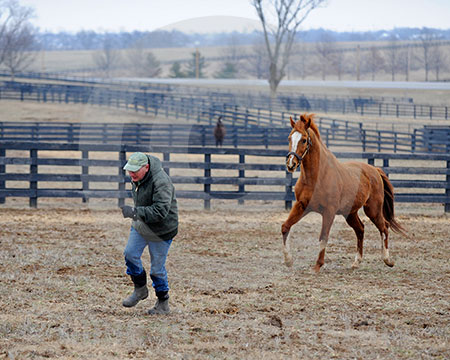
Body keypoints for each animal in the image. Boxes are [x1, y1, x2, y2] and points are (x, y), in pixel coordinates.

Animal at [284, 114, 406, 272]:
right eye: (289, 138)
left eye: (304, 139)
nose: (290, 164)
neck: (316, 177)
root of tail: (374, 170)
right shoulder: (301, 206)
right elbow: (285, 227)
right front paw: (288, 260)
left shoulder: (328, 212)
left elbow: (323, 236)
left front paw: (317, 266)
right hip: (350, 213)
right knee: (360, 229)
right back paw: (356, 262)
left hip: (373, 210)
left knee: (384, 227)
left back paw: (387, 260)